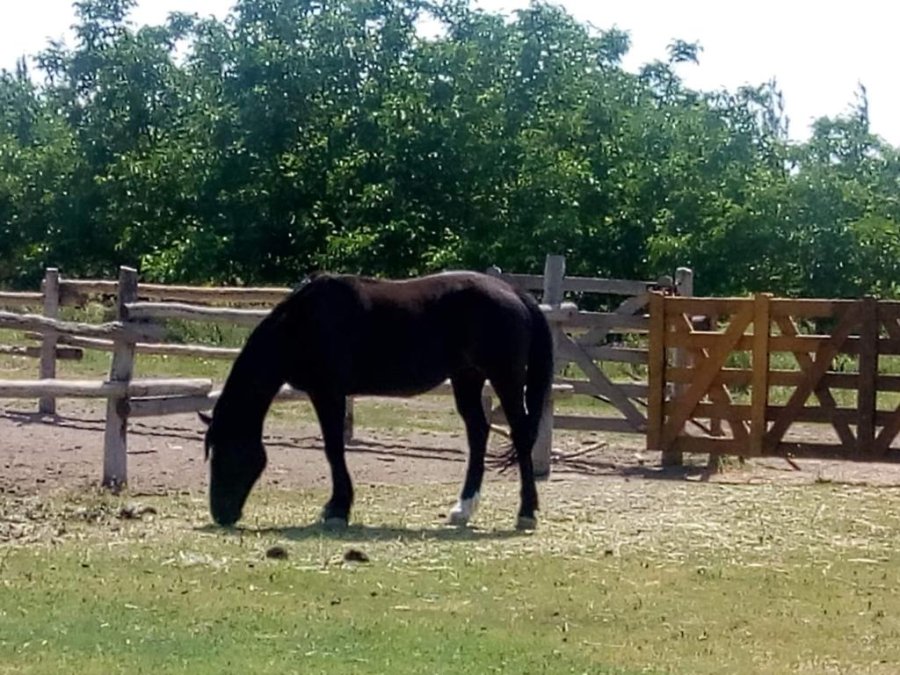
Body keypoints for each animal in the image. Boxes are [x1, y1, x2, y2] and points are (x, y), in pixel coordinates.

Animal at [199, 270, 555, 531]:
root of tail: (514, 292)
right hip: (467, 378)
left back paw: (525, 513)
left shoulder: (327, 392)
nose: (221, 515)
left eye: (226, 454)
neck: (302, 323)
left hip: (505, 379)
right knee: (478, 433)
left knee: (520, 435)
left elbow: (333, 448)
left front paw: (337, 509)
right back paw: (463, 509)